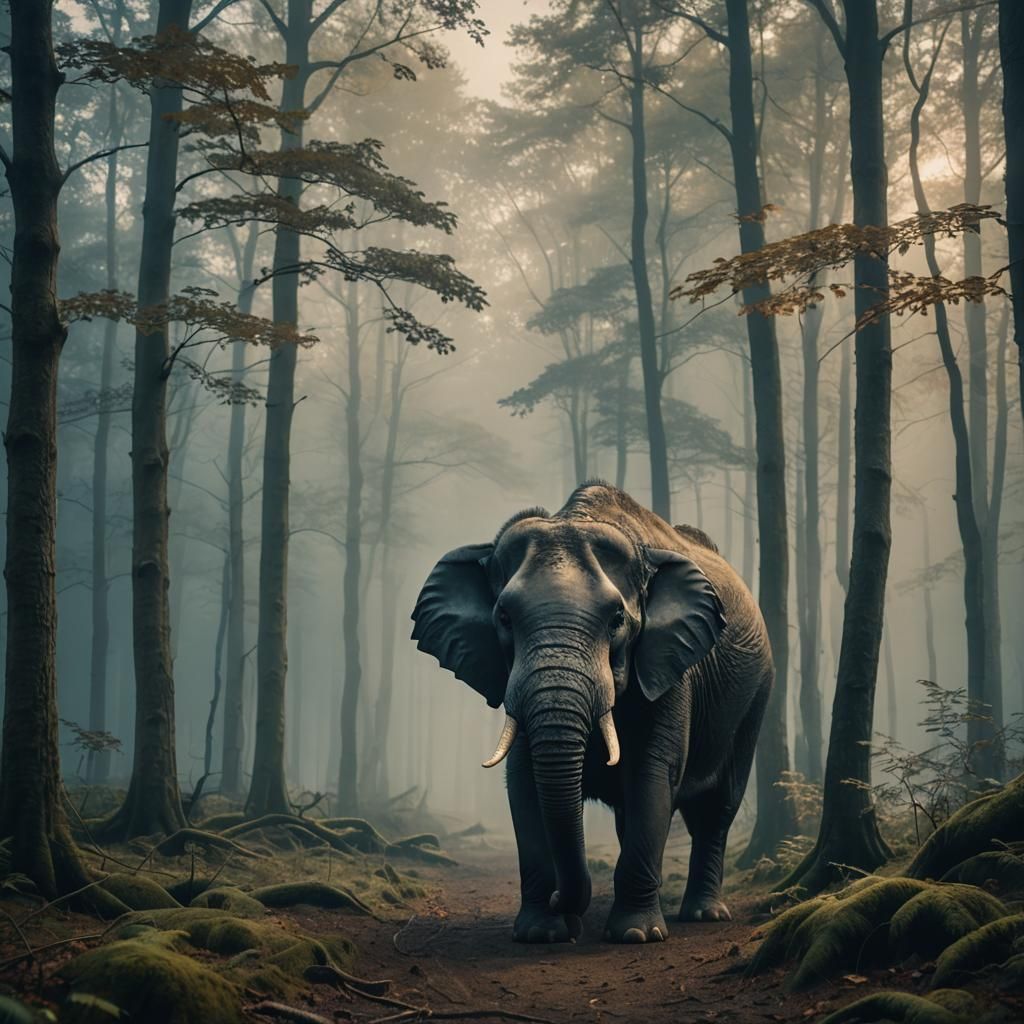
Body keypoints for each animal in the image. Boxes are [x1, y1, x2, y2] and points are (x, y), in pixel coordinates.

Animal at [411, 482, 771, 944]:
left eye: (617, 618)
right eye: (504, 617)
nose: (562, 903)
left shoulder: (670, 668)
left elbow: (653, 773)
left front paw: (635, 935)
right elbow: (523, 780)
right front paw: (541, 933)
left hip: (756, 696)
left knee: (716, 809)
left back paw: (703, 914)